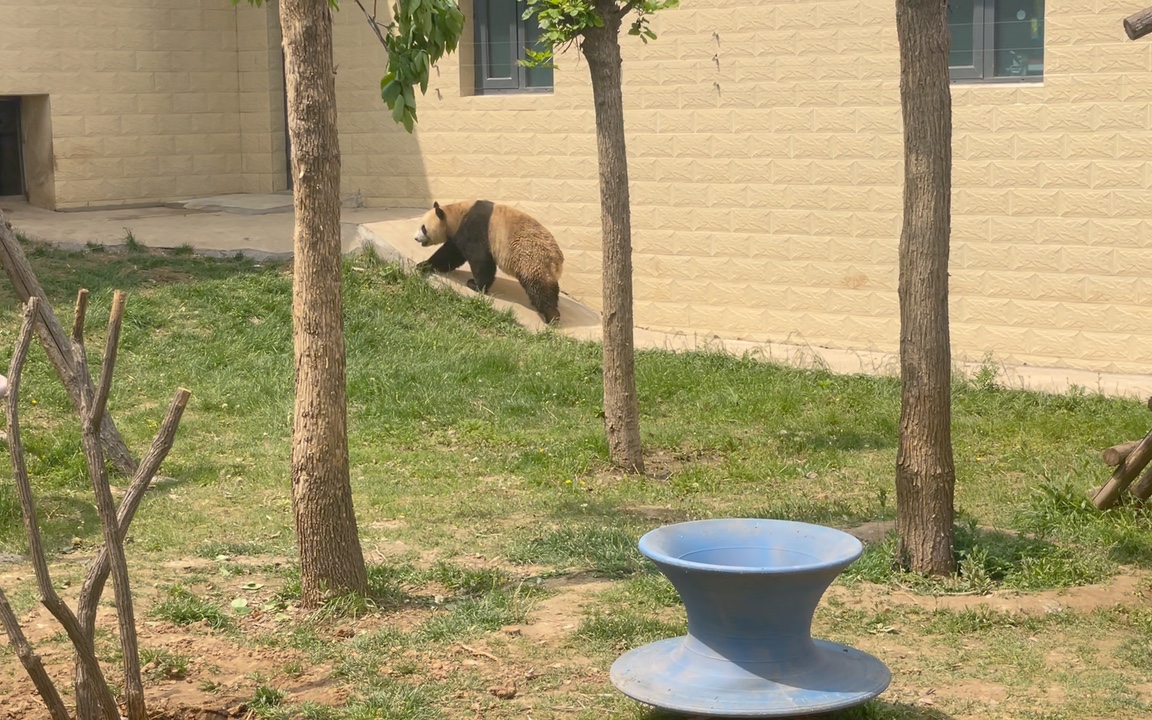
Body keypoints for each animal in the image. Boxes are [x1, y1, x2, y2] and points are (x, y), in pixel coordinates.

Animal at [414, 199, 566, 322]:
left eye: (423, 228)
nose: (415, 238)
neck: (457, 214)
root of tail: (558, 260)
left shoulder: (475, 229)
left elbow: (480, 259)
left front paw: (475, 285)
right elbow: (450, 254)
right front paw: (423, 265)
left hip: (531, 258)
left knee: (538, 286)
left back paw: (551, 315)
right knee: (549, 285)